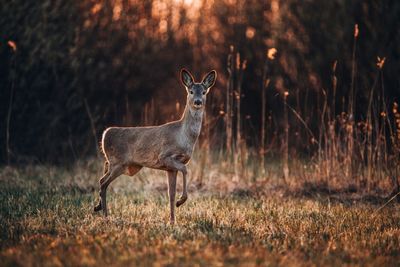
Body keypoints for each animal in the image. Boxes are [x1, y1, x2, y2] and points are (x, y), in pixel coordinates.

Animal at [93, 68, 216, 224]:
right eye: (191, 91)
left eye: (204, 91)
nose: (198, 102)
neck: (184, 136)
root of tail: (105, 134)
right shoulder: (165, 156)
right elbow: (185, 169)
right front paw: (181, 201)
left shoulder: (170, 168)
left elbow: (171, 194)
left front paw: (172, 220)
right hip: (119, 163)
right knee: (103, 182)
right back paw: (105, 215)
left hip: (124, 165)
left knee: (102, 176)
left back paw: (97, 207)